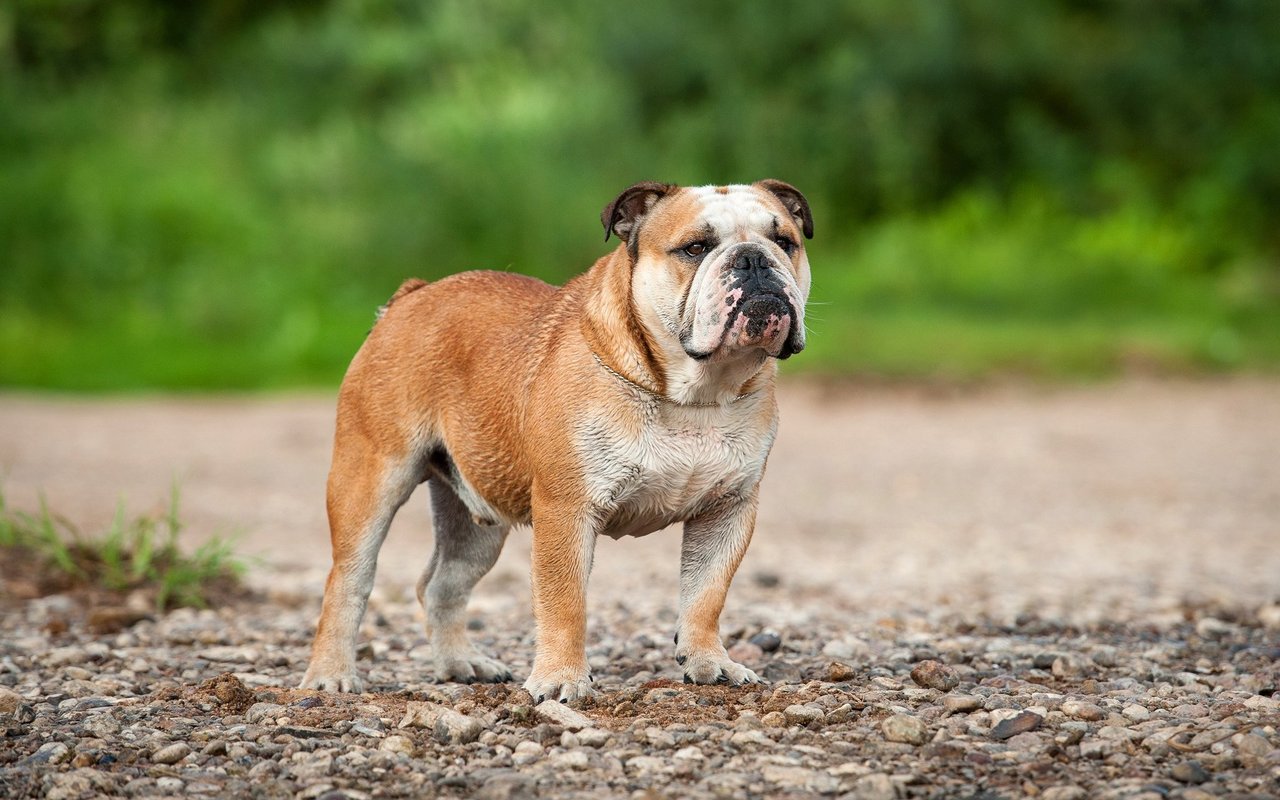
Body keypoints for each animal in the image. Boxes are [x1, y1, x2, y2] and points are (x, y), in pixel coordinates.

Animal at [302, 179, 808, 696]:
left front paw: (709, 662)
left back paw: (461, 663)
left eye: (785, 241)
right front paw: (562, 679)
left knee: (443, 584)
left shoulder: (726, 511)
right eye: (695, 248)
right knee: (348, 581)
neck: (695, 394)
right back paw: (330, 675)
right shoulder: (567, 509)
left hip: (476, 520)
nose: (753, 259)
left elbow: (706, 595)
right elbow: (565, 602)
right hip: (370, 479)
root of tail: (410, 297)